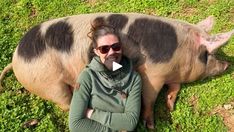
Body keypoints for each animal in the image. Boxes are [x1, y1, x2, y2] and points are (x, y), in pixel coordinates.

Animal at [0, 13, 234, 129]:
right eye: (208, 53)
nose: (226, 65)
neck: (181, 50)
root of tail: (15, 59)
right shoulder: (153, 74)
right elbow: (149, 97)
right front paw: (150, 125)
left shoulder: (172, 75)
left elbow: (174, 87)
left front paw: (170, 104)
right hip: (49, 84)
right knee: (66, 104)